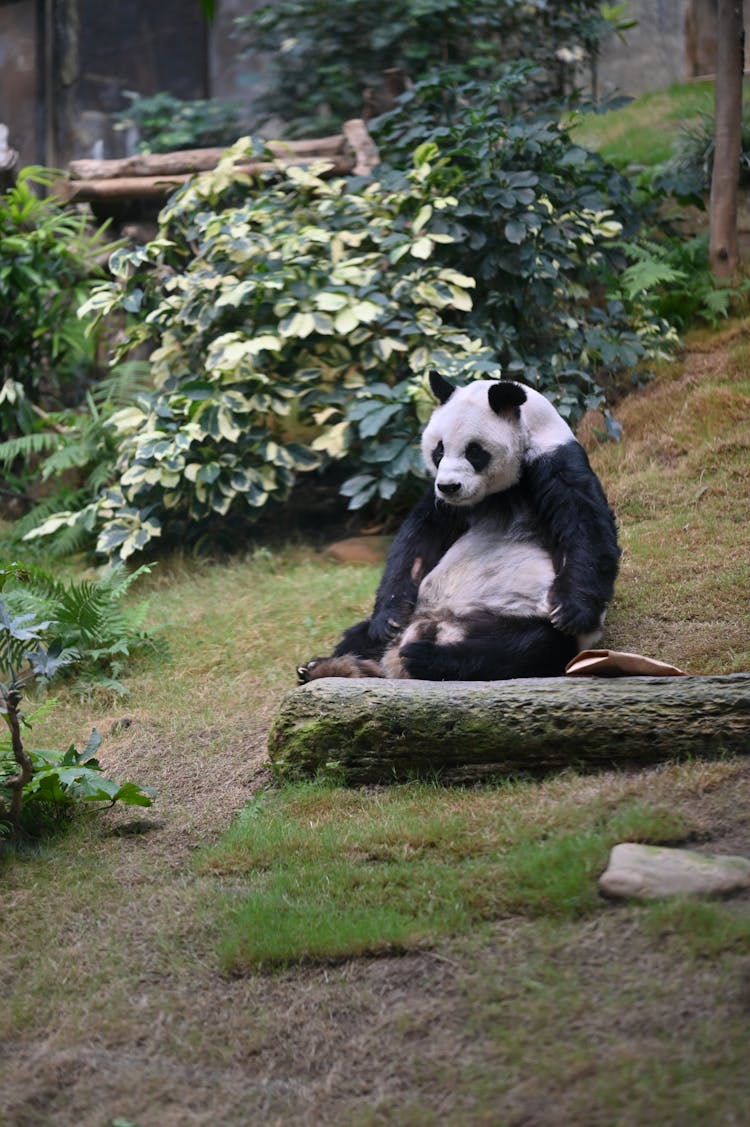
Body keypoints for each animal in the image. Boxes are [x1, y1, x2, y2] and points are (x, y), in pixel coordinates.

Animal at [297, 374, 618, 680]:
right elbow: (416, 541)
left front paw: (571, 611)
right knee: (360, 636)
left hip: (516, 617)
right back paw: (332, 666)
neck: (499, 492)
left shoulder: (554, 461)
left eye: (474, 451)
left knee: (520, 648)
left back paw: (426, 658)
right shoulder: (442, 501)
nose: (450, 486)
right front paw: (388, 619)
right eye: (438, 450)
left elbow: (585, 526)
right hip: (414, 616)